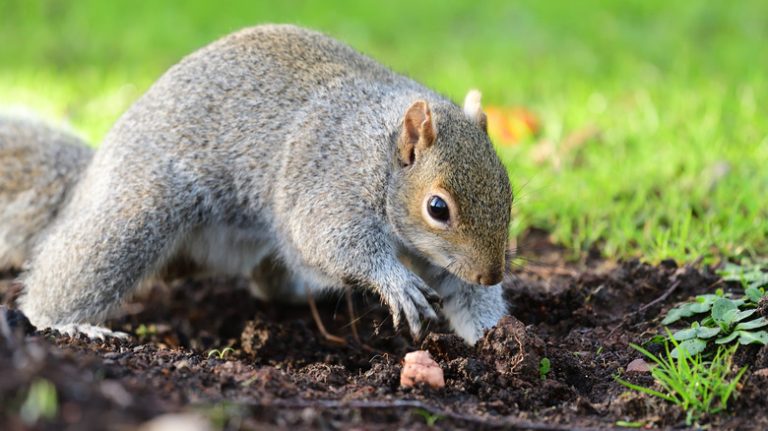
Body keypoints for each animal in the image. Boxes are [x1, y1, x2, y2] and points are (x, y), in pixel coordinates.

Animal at [13, 25, 510, 346]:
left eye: (508, 191)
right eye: (437, 208)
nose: (492, 274)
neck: (380, 155)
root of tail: (93, 173)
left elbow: (462, 293)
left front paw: (494, 335)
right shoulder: (331, 180)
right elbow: (330, 239)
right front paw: (396, 282)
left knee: (269, 280)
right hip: (141, 208)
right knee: (75, 269)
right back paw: (66, 324)